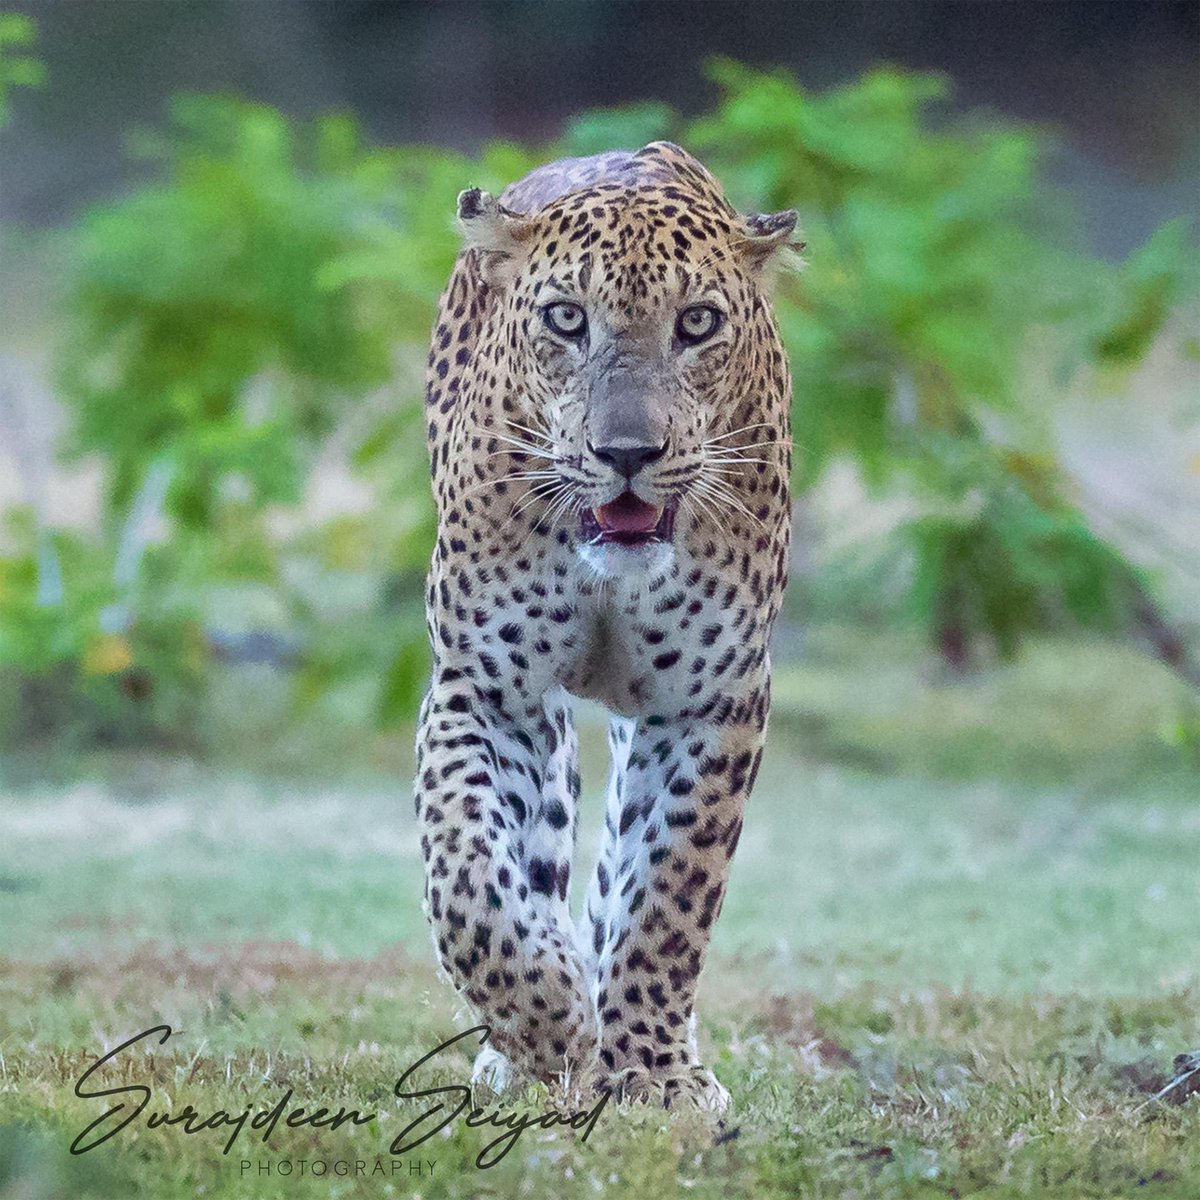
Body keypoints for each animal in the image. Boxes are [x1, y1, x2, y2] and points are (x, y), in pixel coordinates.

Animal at [414, 140, 797, 1112]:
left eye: (696, 323)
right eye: (565, 319)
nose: (627, 454)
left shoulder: (712, 699)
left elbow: (668, 892)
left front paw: (654, 1072)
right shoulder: (487, 685)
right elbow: (466, 864)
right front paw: (545, 1018)